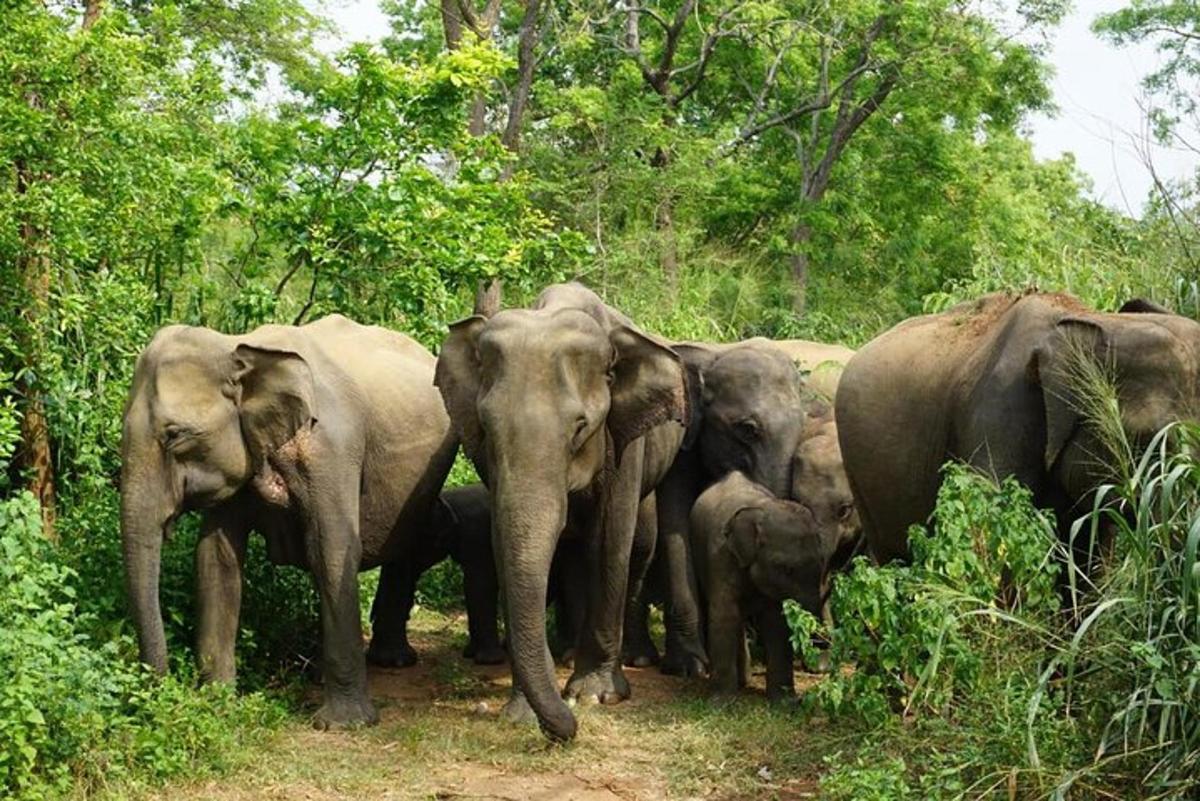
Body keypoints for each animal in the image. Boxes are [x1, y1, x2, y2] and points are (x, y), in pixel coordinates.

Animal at [118, 316, 453, 729]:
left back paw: (390, 663)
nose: (159, 696)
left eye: (174, 435)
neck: (239, 349)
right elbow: (216, 556)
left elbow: (332, 549)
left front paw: (343, 724)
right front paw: (220, 705)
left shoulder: (330, 450)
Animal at [436, 282, 691, 743]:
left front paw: (594, 696)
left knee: (637, 547)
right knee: (573, 554)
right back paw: (570, 652)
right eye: (486, 425)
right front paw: (522, 713)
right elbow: (506, 540)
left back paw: (626, 658)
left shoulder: (622, 439)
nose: (566, 729)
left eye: (580, 426)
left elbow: (609, 540)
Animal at [691, 472, 840, 695]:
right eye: (786, 568)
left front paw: (785, 700)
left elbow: (776, 620)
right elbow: (724, 615)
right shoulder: (720, 556)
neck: (760, 509)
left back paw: (745, 681)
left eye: (821, 563)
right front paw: (721, 700)